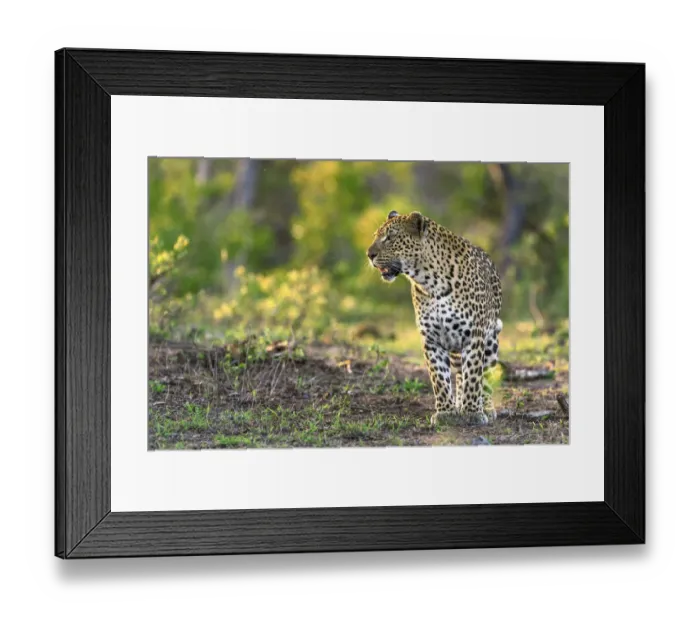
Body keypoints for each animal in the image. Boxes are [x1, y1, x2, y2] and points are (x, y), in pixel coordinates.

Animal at [367, 210, 503, 427]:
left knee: (485, 376)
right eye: (375, 236)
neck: (430, 282)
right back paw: (459, 405)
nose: (369, 255)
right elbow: (439, 377)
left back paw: (486, 408)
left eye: (390, 238)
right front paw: (446, 412)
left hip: (490, 341)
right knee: (459, 374)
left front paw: (472, 412)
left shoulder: (474, 336)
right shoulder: (431, 339)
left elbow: (474, 376)